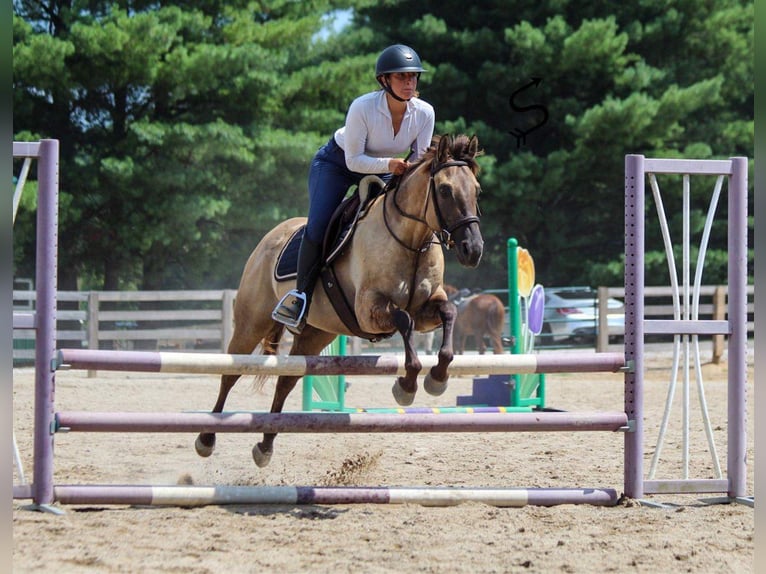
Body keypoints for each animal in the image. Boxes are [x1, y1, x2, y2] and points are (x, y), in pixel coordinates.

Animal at [195, 135, 484, 468]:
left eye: (477, 189)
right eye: (445, 190)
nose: (473, 250)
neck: (412, 240)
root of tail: (270, 237)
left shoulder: (427, 307)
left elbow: (448, 313)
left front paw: (437, 378)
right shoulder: (368, 310)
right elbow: (404, 321)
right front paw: (406, 386)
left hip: (317, 334)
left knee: (286, 381)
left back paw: (265, 446)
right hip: (250, 325)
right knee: (230, 373)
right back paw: (206, 438)